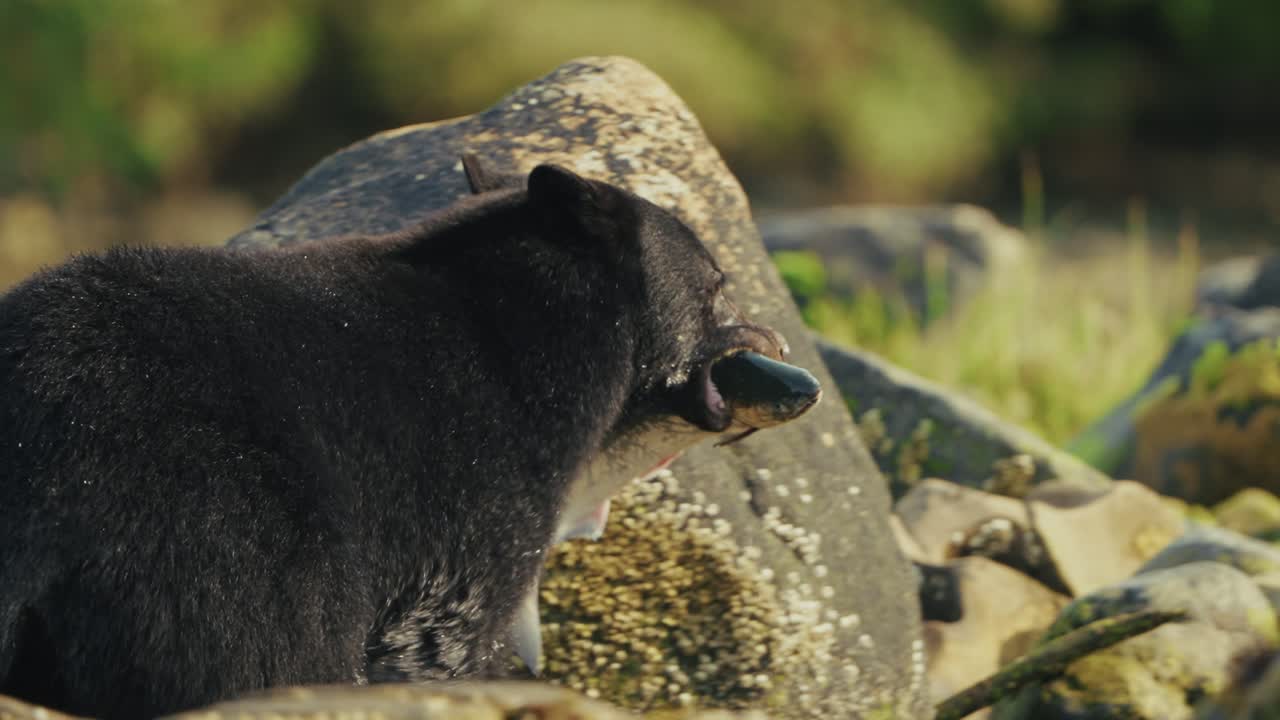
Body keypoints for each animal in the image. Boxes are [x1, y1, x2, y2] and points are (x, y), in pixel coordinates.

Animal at [0, 156, 819, 719]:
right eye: (718, 284)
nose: (782, 349)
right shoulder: (481, 473)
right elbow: (443, 629)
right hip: (220, 519)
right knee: (260, 647)